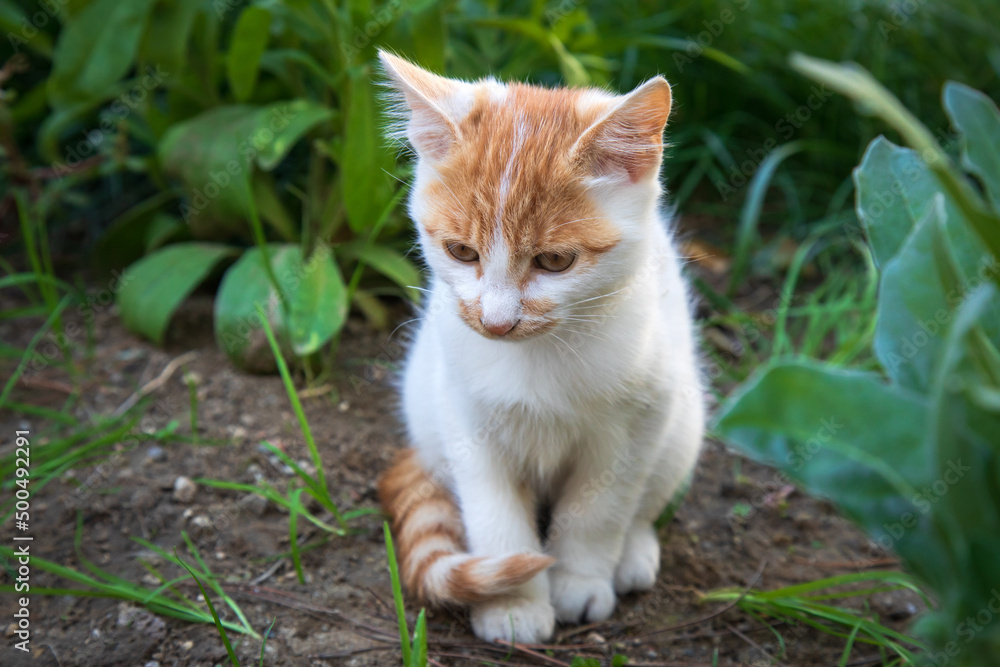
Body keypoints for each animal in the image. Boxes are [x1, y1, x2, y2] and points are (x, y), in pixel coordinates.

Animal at [378, 49, 708, 644]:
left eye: (555, 261)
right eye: (461, 252)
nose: (496, 322)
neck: (538, 357)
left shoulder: (639, 419)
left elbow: (600, 509)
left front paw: (580, 579)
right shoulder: (466, 419)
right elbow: (495, 517)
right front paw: (513, 605)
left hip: (683, 422)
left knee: (647, 499)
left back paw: (634, 552)